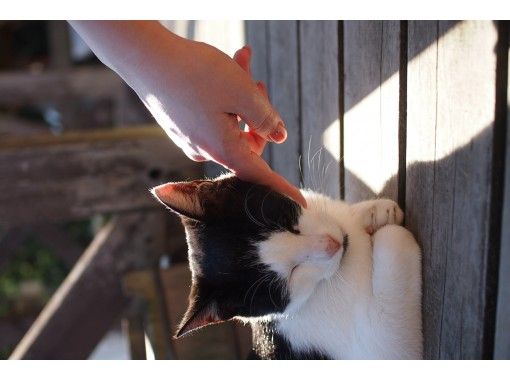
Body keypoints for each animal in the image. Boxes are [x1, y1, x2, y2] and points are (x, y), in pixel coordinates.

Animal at [151, 175, 422, 360]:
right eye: (290, 276)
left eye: (283, 220)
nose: (332, 245)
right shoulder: (376, 348)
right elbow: (393, 238)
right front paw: (385, 228)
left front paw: (373, 211)